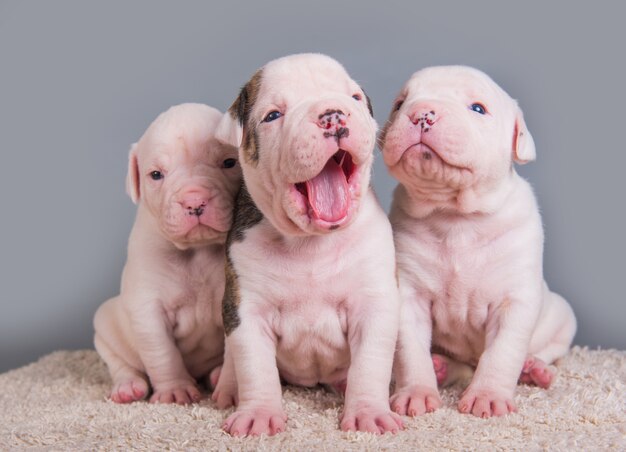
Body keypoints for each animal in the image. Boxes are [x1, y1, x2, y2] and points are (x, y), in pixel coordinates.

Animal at [93, 104, 241, 404]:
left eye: (229, 163)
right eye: (156, 175)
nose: (195, 201)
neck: (197, 250)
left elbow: (235, 351)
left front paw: (231, 389)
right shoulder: (147, 309)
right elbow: (163, 353)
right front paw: (174, 391)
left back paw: (216, 374)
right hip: (105, 324)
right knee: (119, 362)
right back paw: (127, 386)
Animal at [212, 53, 402, 438]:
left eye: (354, 98)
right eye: (273, 115)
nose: (333, 115)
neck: (310, 244)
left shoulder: (374, 304)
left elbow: (370, 364)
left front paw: (369, 414)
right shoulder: (246, 308)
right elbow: (254, 366)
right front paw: (258, 414)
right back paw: (225, 388)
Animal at [376, 65, 576, 418]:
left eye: (478, 108)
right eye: (399, 104)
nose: (421, 112)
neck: (457, 217)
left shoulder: (514, 301)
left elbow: (501, 354)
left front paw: (488, 397)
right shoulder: (409, 297)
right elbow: (410, 350)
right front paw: (416, 393)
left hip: (563, 317)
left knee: (547, 350)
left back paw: (535, 370)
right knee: (457, 366)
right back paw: (441, 367)